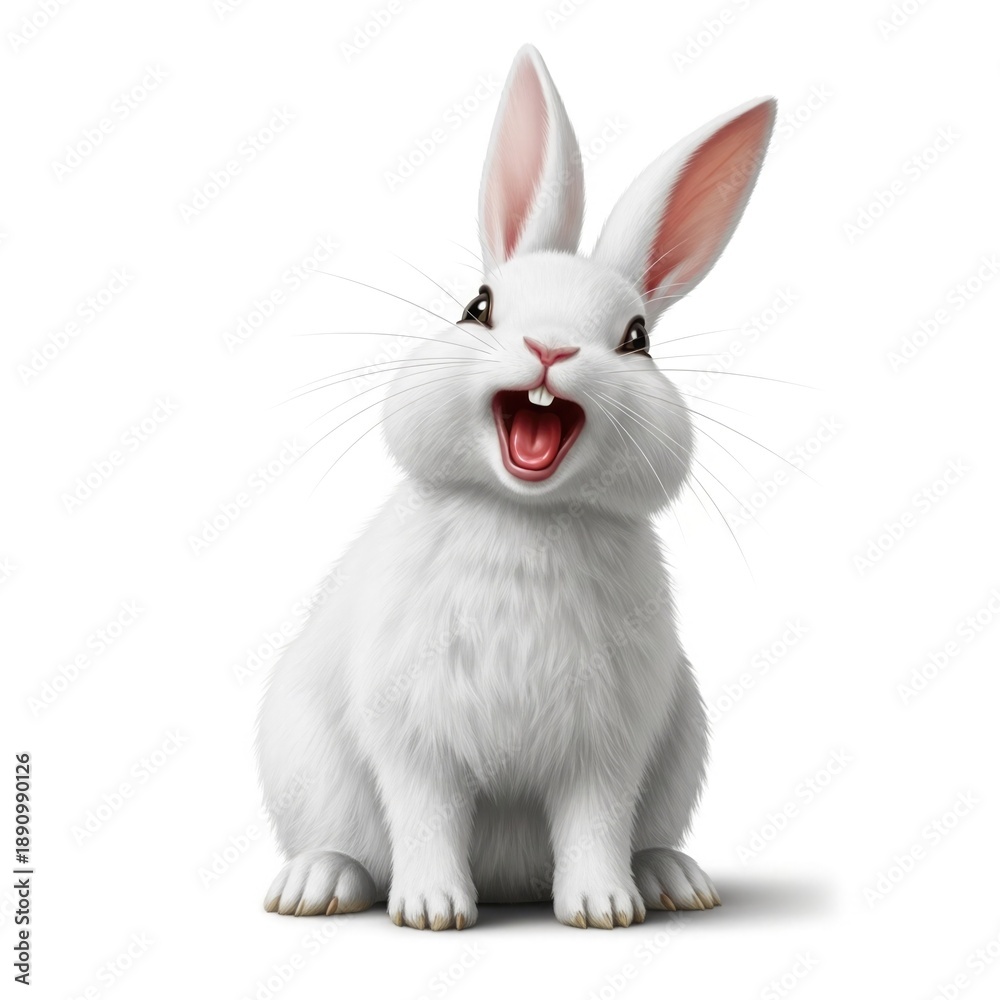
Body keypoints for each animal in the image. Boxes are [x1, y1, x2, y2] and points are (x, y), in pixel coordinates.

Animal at [257, 43, 775, 930]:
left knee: (642, 833)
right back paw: (317, 884)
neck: (524, 516)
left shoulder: (608, 746)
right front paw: (432, 911)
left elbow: (595, 822)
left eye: (636, 338)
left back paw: (670, 879)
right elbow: (426, 816)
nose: (550, 349)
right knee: (348, 843)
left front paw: (603, 909)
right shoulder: (414, 736)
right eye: (479, 306)